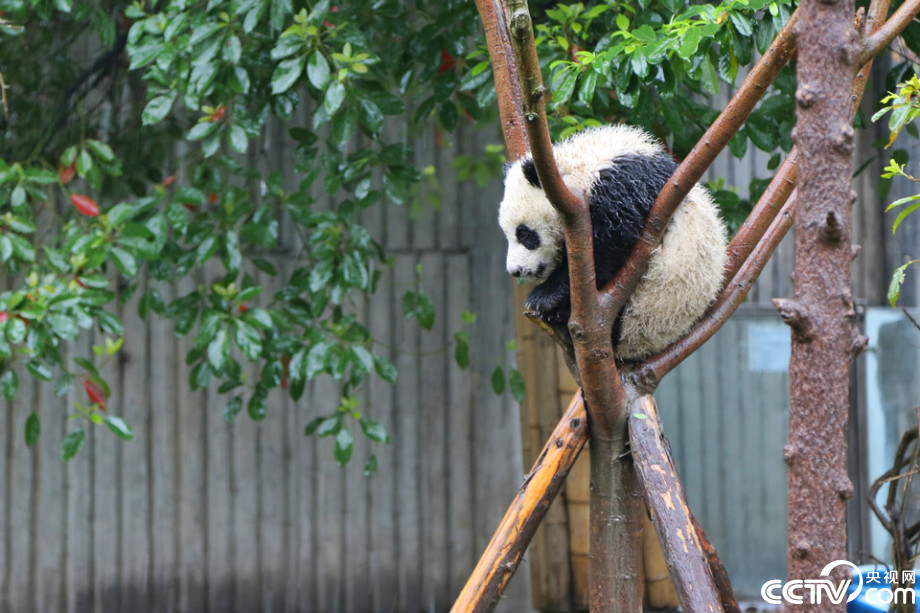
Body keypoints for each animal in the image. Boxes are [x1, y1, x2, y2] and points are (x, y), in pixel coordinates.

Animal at [504, 123, 724, 358]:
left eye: (524, 234)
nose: (515, 270)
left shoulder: (624, 189)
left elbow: (610, 247)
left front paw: (543, 297)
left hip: (650, 307)